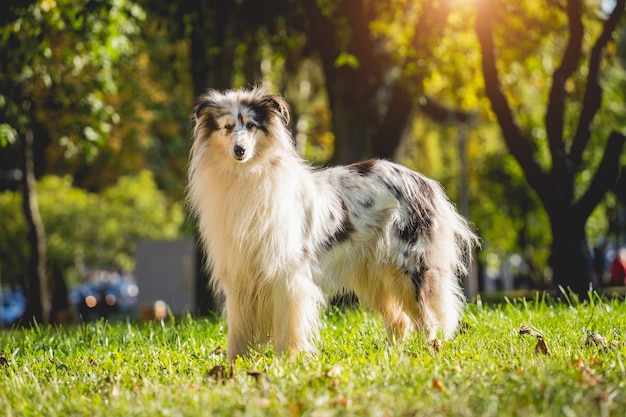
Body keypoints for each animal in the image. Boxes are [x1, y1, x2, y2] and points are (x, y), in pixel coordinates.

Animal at [188, 86, 476, 360]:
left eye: (251, 125)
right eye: (227, 127)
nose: (240, 150)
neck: (247, 177)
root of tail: (424, 182)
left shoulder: (286, 276)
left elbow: (286, 328)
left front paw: (287, 360)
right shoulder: (241, 279)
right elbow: (237, 332)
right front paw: (234, 364)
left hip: (408, 269)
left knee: (426, 317)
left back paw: (430, 348)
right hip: (373, 275)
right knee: (400, 321)